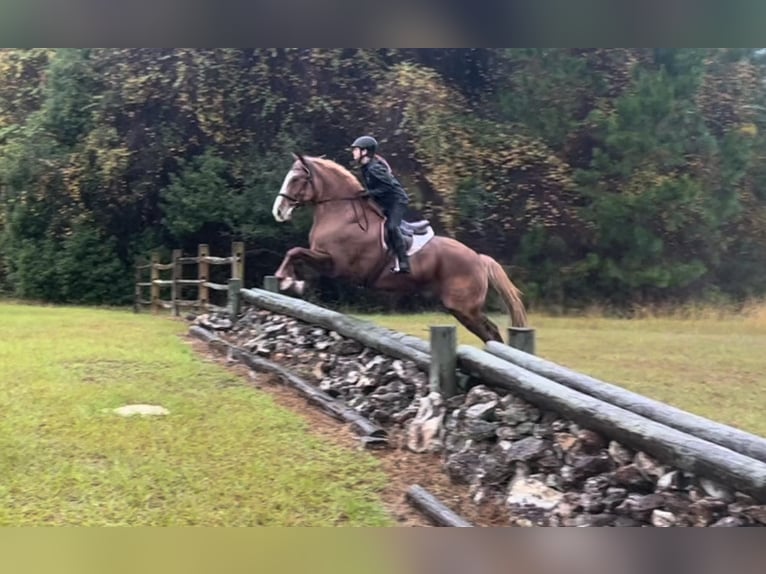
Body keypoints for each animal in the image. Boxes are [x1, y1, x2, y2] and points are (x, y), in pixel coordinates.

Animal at [270, 153, 528, 344]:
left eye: (296, 179)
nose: (278, 211)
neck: (341, 213)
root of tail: (478, 258)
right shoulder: (323, 259)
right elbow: (296, 255)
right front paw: (293, 283)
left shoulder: (336, 264)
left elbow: (295, 251)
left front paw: (285, 279)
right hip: (461, 309)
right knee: (490, 333)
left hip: (464, 307)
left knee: (491, 332)